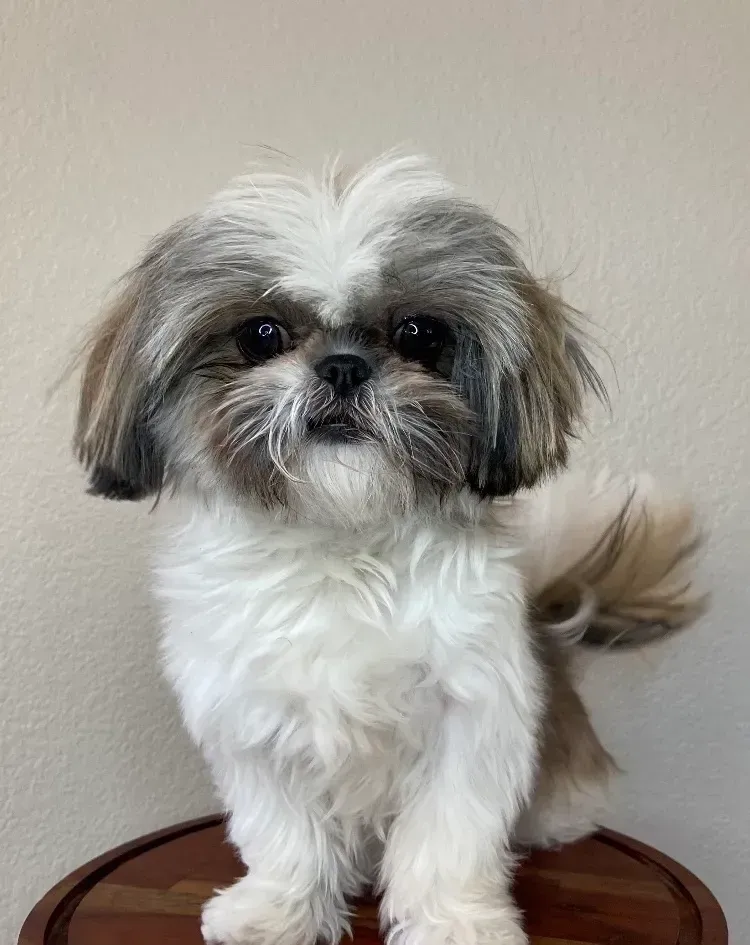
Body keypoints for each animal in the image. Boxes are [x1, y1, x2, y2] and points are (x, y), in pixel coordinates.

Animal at [72, 155, 704, 944]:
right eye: (260, 334)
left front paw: (455, 923)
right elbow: (285, 835)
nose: (343, 366)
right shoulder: (249, 722)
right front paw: (276, 909)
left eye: (419, 333)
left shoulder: (472, 715)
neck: (343, 545)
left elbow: (448, 838)